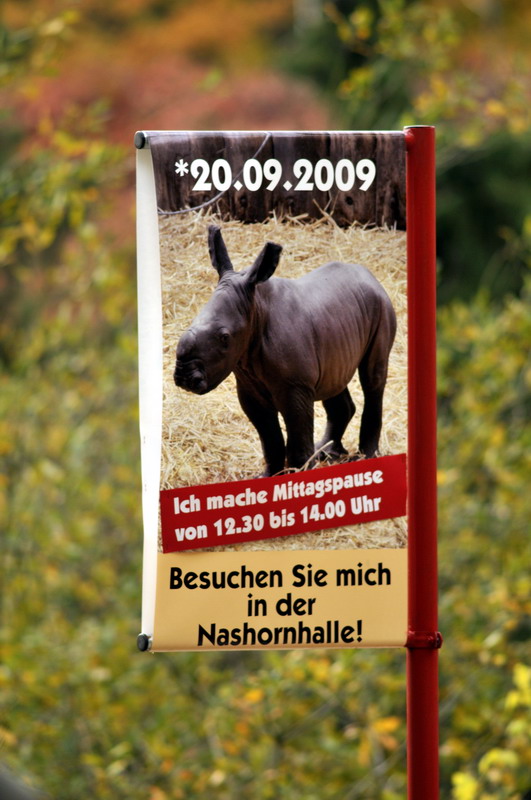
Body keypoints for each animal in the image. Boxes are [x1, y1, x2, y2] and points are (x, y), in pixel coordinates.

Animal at [174, 225, 396, 477]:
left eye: (224, 337)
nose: (184, 376)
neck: (256, 310)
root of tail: (371, 277)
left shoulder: (295, 388)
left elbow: (298, 438)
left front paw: (300, 475)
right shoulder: (249, 388)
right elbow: (269, 438)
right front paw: (269, 475)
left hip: (381, 307)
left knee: (372, 379)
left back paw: (365, 457)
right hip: (339, 325)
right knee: (334, 380)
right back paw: (327, 454)